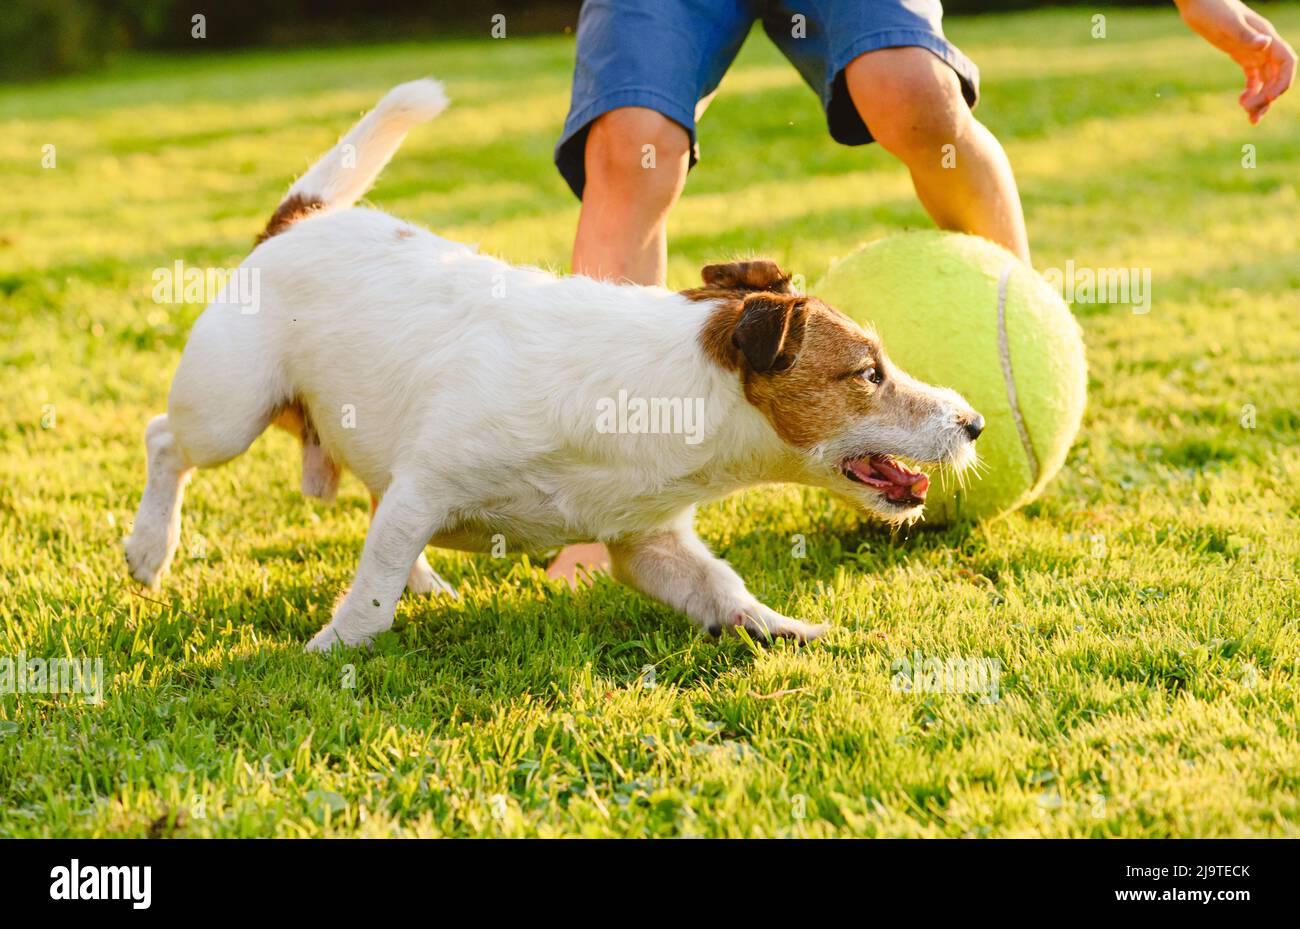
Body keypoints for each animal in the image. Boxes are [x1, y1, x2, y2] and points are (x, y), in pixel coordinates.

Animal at [124, 79, 982, 654]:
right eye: (868, 373)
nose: (974, 421)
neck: (666, 394)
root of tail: (302, 218)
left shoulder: (649, 542)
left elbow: (722, 589)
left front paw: (787, 628)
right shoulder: (429, 485)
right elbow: (369, 599)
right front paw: (334, 651)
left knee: (371, 500)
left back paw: (421, 580)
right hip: (230, 407)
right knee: (165, 437)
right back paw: (149, 548)